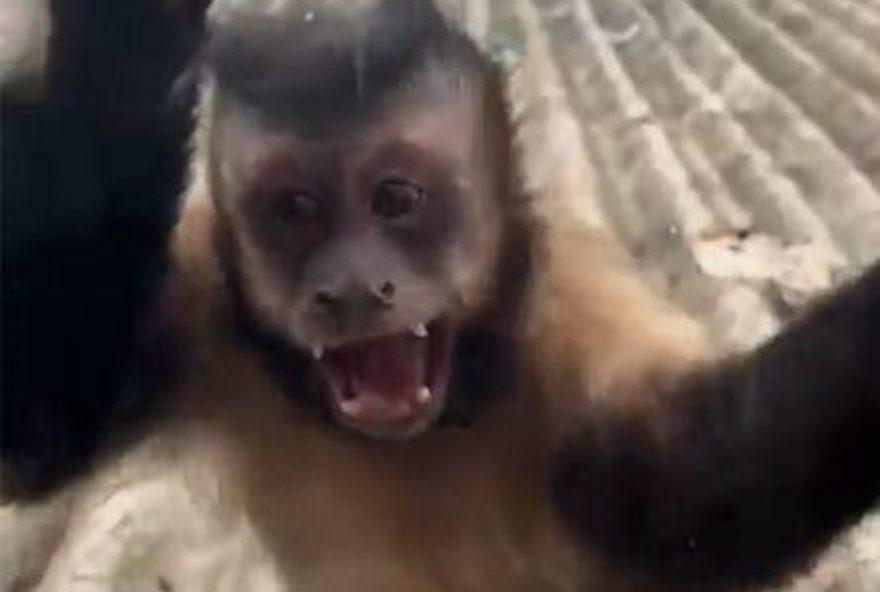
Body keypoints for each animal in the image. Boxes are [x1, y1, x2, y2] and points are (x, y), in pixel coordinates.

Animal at [2, 0, 879, 591]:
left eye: (396, 199)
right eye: (294, 210)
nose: (350, 288)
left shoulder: (571, 294)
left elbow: (681, 491)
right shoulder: (202, 290)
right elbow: (46, 427)